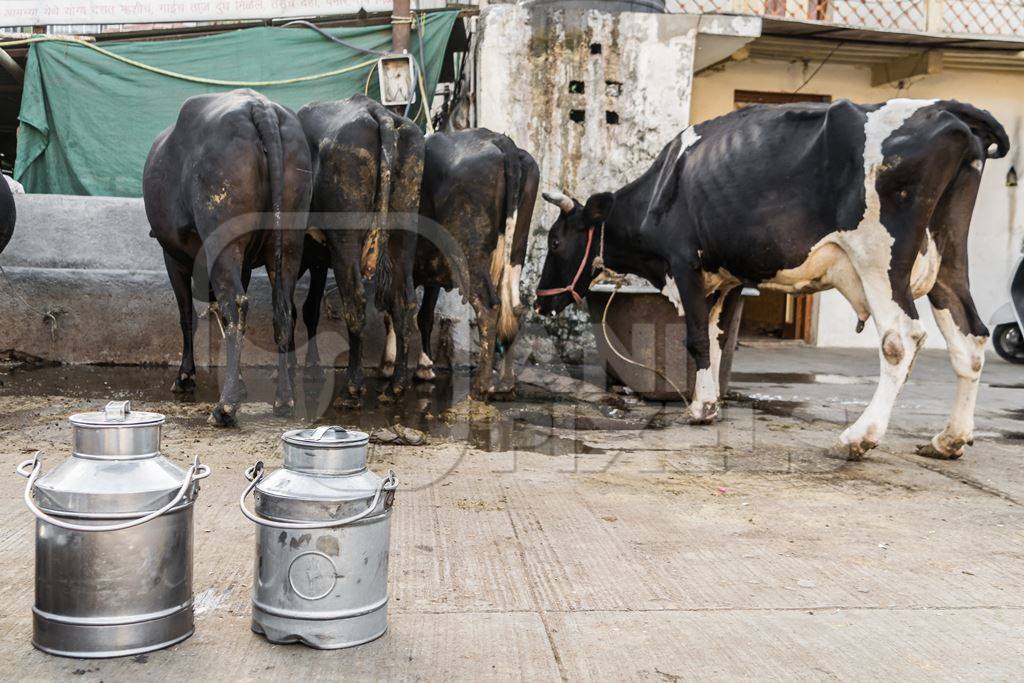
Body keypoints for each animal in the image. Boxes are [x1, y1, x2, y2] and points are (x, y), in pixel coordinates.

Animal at [144, 88, 311, 423]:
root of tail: (260, 108)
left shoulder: (173, 258)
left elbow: (187, 316)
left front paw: (185, 376)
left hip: (224, 240)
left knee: (235, 305)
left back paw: (225, 407)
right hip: (288, 240)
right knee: (282, 310)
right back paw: (283, 399)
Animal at [296, 96, 423, 405]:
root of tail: (377, 111)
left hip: (346, 241)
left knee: (355, 302)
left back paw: (353, 387)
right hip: (404, 234)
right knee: (405, 303)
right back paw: (397, 385)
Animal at [380, 127, 540, 397]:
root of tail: (499, 139)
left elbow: (394, 311)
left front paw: (391, 367)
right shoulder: (430, 267)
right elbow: (424, 315)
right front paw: (424, 366)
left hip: (468, 252)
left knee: (489, 306)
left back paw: (480, 386)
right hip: (516, 249)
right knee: (514, 308)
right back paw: (506, 382)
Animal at [536, 98, 1007, 462]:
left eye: (556, 241)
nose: (541, 300)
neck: (661, 190)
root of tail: (942, 107)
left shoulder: (684, 262)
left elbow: (696, 338)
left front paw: (700, 409)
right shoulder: (723, 278)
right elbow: (716, 339)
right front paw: (711, 400)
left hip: (879, 258)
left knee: (900, 339)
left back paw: (859, 437)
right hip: (949, 259)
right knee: (970, 338)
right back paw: (949, 440)